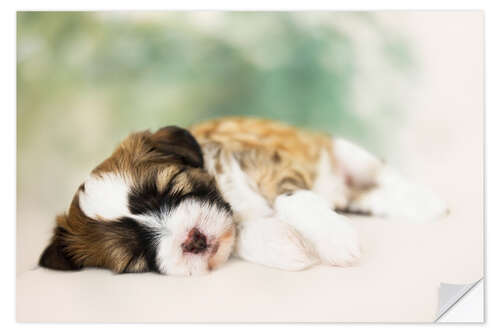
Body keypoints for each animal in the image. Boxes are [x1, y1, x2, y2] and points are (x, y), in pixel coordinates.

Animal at [38, 116, 446, 274]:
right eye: (137, 259)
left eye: (171, 188)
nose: (193, 239)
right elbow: (242, 232)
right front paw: (285, 245)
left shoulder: (271, 163)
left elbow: (291, 197)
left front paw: (334, 238)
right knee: (368, 197)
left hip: (347, 153)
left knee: (382, 175)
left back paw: (424, 202)